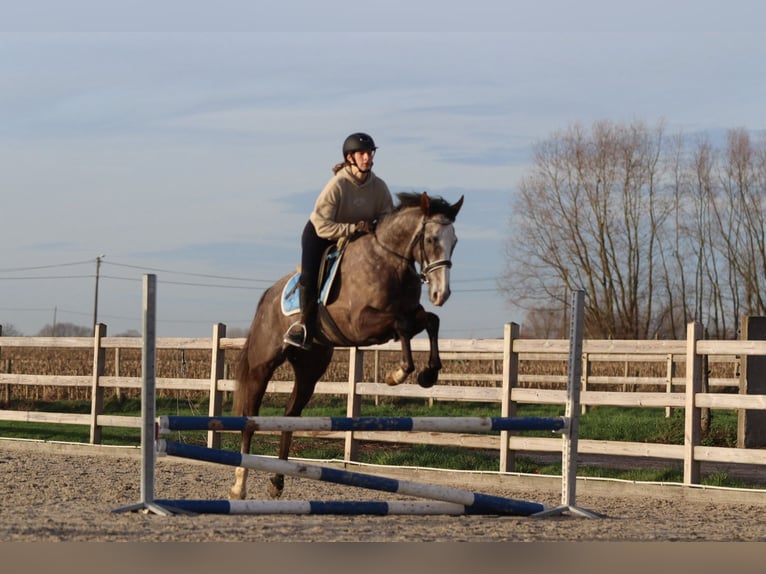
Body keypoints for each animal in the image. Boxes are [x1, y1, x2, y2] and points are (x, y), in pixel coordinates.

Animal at [230, 191, 463, 499]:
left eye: (454, 242)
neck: (390, 261)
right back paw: (239, 485)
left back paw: (277, 482)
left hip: (310, 369)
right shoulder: (360, 325)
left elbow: (429, 321)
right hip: (262, 365)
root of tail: (269, 294)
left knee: (291, 415)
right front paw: (398, 373)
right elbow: (402, 325)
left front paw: (428, 374)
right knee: (251, 418)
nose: (441, 294)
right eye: (431, 240)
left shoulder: (407, 315)